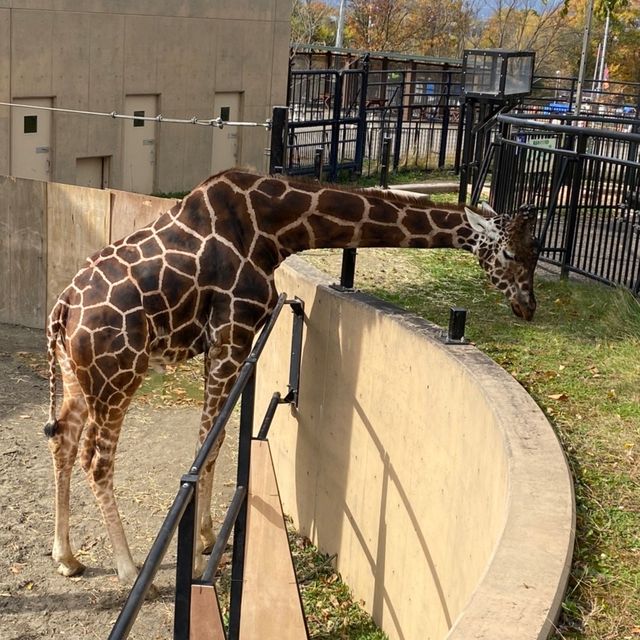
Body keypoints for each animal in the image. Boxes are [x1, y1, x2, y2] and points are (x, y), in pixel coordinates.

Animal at [43, 168, 540, 584]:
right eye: (510, 252)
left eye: (536, 254)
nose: (527, 307)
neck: (275, 230)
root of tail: (63, 310)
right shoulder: (232, 334)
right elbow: (210, 443)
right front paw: (204, 551)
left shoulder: (227, 343)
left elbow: (213, 440)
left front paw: (206, 536)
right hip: (119, 375)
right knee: (96, 458)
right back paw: (129, 568)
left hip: (77, 377)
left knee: (62, 437)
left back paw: (66, 557)